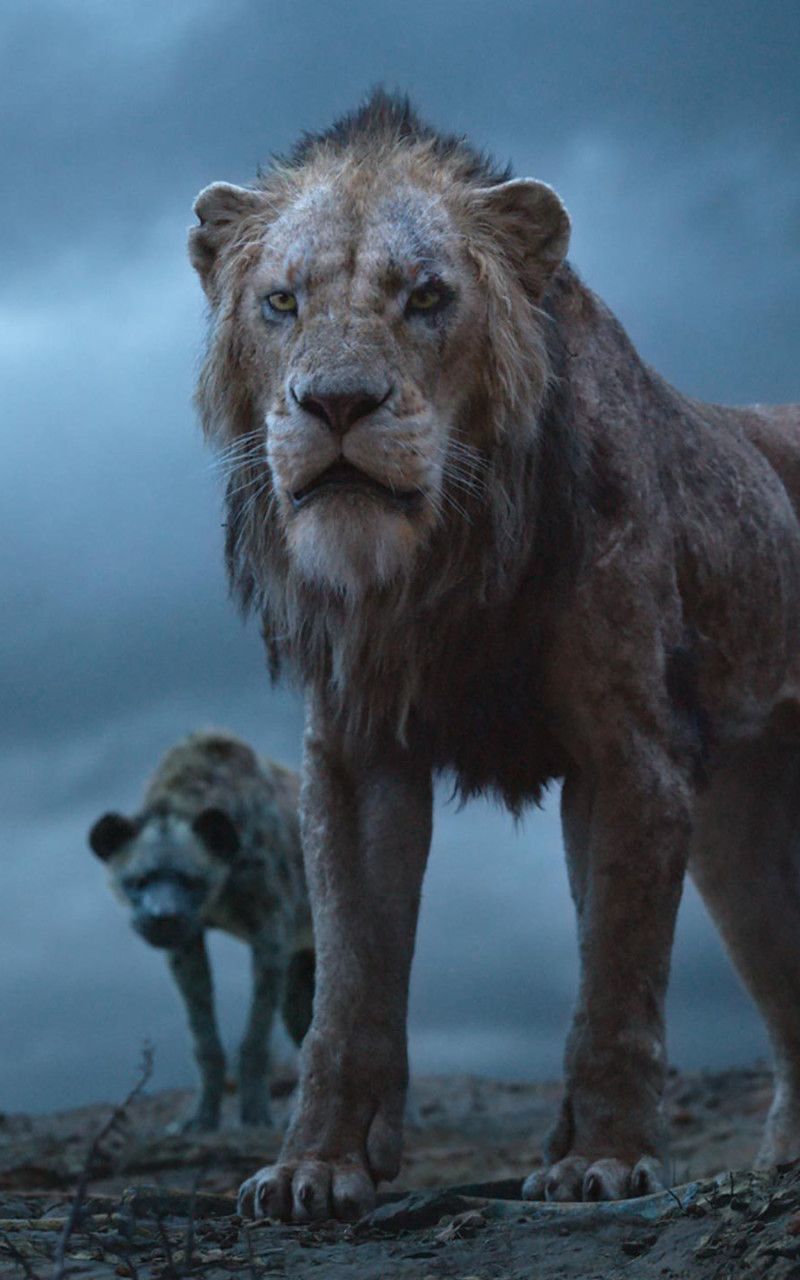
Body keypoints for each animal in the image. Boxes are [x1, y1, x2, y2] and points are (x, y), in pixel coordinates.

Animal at [188, 90, 800, 1220]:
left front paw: (601, 1160)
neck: (437, 563)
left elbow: (614, 975)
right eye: (282, 302)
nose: (337, 403)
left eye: (427, 296)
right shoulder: (355, 755)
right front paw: (313, 1167)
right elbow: (347, 985)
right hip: (737, 825)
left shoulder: (630, 750)